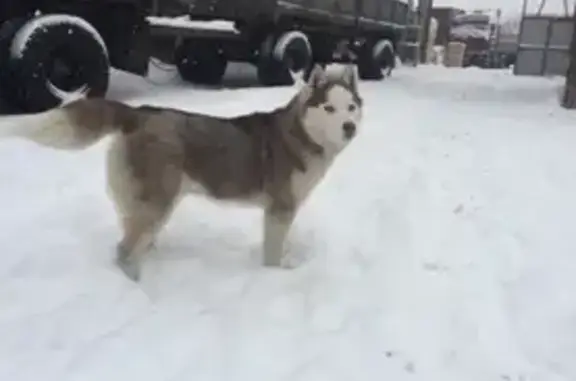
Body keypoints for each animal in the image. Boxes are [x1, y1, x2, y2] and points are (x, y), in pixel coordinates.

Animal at [0, 63, 364, 280]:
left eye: (351, 107)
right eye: (329, 108)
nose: (349, 127)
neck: (301, 134)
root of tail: (138, 112)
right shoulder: (279, 207)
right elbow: (273, 253)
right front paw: (278, 275)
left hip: (151, 199)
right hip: (159, 199)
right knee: (123, 251)